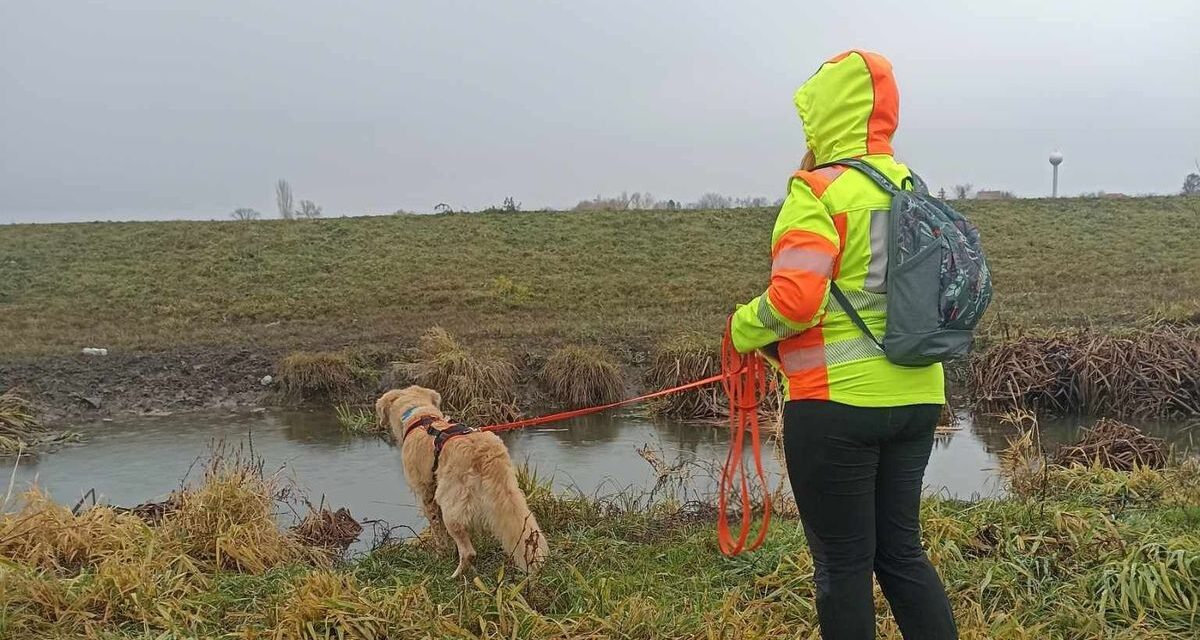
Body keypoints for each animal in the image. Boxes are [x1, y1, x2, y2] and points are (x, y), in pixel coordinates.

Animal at [374, 384, 549, 578]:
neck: (420, 416)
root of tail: (483, 453)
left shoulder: (426, 493)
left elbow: (437, 530)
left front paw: (440, 555)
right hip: (509, 495)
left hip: (451, 505)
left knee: (468, 552)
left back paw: (455, 575)